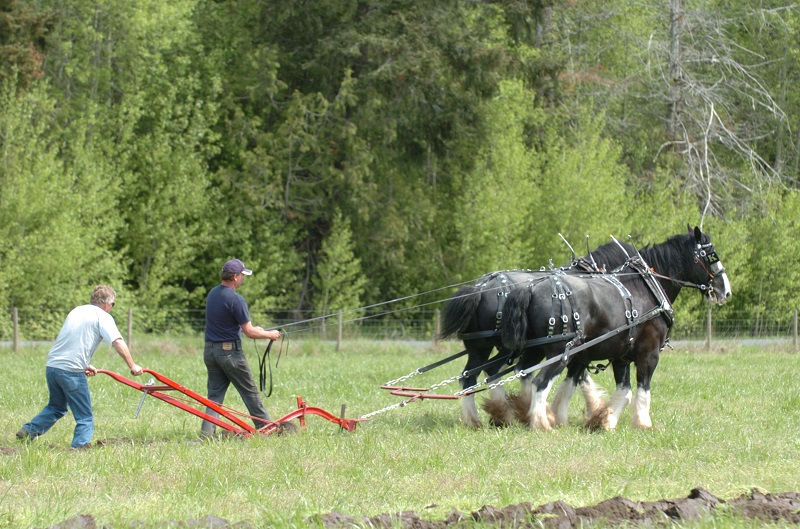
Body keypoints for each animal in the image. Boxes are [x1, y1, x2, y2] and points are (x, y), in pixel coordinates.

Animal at [439, 239, 636, 427]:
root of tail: (480, 289)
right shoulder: (576, 348)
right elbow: (576, 377)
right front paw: (593, 409)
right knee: (489, 373)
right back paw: (505, 413)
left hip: (480, 347)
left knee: (470, 377)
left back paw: (483, 418)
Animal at [499, 226, 732, 431]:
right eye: (711, 255)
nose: (726, 290)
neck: (646, 287)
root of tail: (531, 288)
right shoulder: (648, 354)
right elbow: (642, 390)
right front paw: (643, 423)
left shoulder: (620, 356)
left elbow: (623, 392)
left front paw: (605, 420)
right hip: (560, 354)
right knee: (539, 382)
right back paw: (540, 423)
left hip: (535, 350)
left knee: (523, 374)